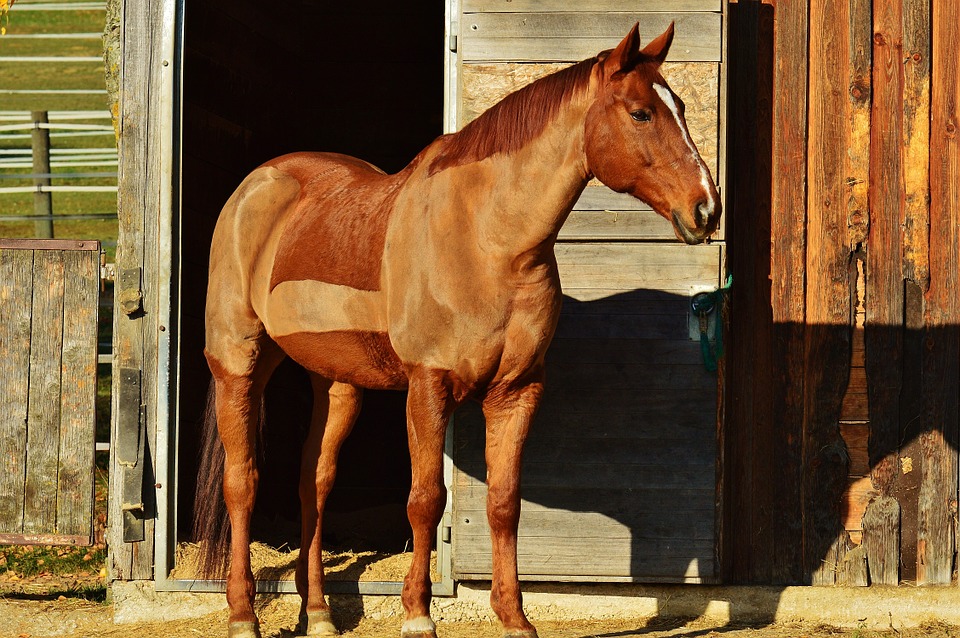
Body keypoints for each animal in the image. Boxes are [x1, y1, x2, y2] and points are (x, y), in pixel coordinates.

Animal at [193, 22, 720, 638]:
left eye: (680, 106)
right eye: (641, 113)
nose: (706, 209)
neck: (488, 240)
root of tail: (256, 185)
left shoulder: (516, 391)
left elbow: (505, 503)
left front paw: (514, 616)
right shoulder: (429, 385)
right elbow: (425, 499)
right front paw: (418, 614)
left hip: (337, 382)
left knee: (314, 483)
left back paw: (319, 612)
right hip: (240, 365)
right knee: (242, 483)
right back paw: (242, 614)